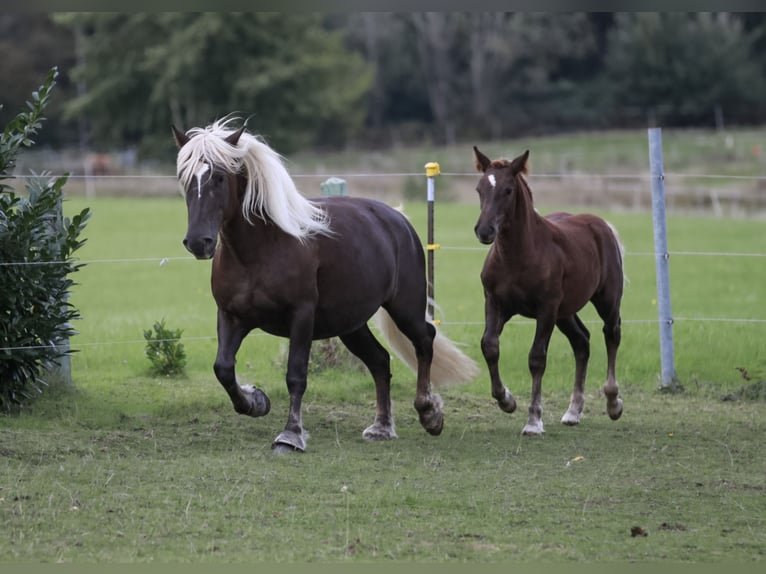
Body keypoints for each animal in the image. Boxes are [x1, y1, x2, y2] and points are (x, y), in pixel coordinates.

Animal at [170, 117, 479, 453]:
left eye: (219, 178)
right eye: (184, 178)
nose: (198, 242)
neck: (260, 249)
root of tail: (397, 219)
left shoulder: (301, 316)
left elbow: (296, 375)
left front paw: (290, 435)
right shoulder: (231, 316)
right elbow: (223, 369)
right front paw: (256, 401)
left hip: (405, 307)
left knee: (424, 340)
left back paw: (429, 414)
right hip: (350, 324)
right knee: (380, 361)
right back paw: (382, 427)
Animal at [472, 146, 625, 436]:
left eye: (508, 190)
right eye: (479, 188)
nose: (484, 230)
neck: (518, 256)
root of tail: (602, 225)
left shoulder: (546, 309)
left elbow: (536, 358)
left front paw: (533, 420)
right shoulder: (494, 303)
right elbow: (489, 345)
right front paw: (506, 400)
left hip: (605, 300)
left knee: (611, 334)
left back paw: (613, 403)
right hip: (565, 313)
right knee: (582, 341)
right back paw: (573, 411)